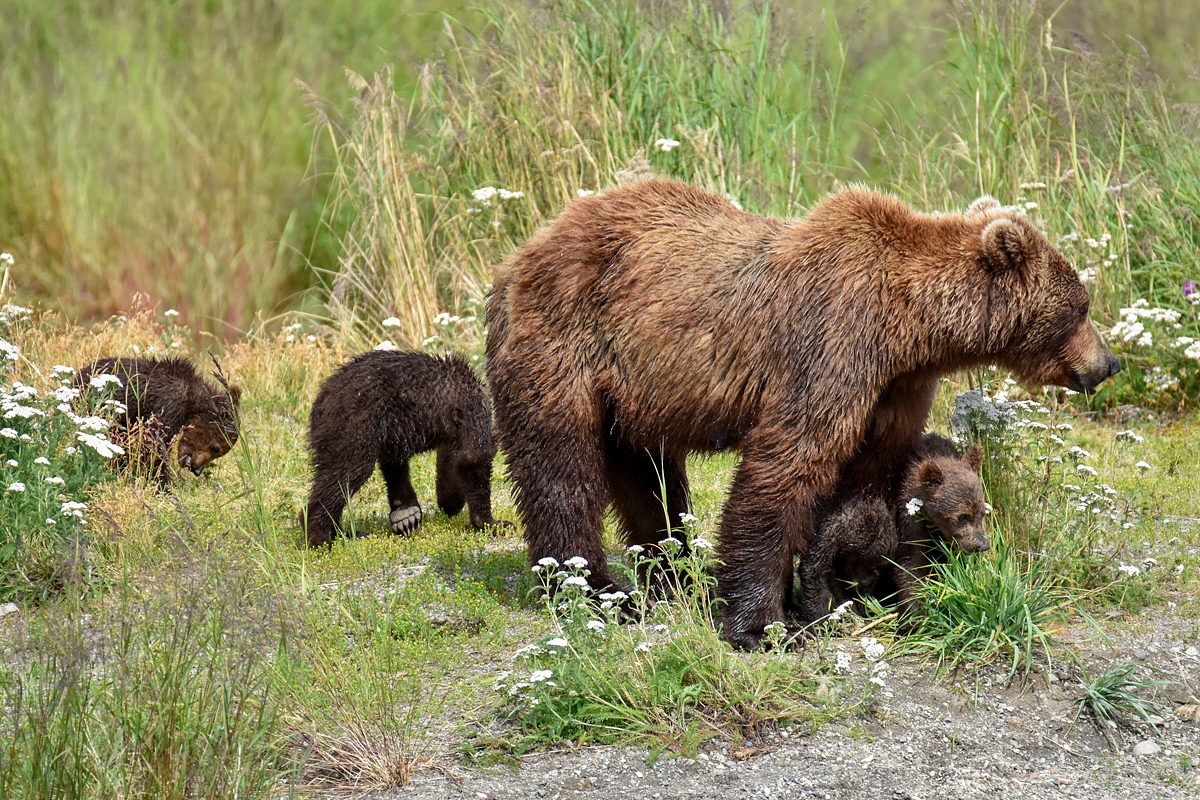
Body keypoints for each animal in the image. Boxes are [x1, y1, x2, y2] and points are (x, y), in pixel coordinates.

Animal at [482, 176, 1118, 652]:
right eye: (1082, 306)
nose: (1108, 363)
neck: (909, 327)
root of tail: (520, 254)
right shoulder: (833, 344)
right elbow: (788, 463)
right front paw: (764, 624)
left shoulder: (894, 387)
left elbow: (868, 478)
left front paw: (856, 588)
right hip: (565, 342)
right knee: (561, 466)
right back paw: (591, 589)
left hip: (637, 389)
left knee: (649, 475)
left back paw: (674, 576)